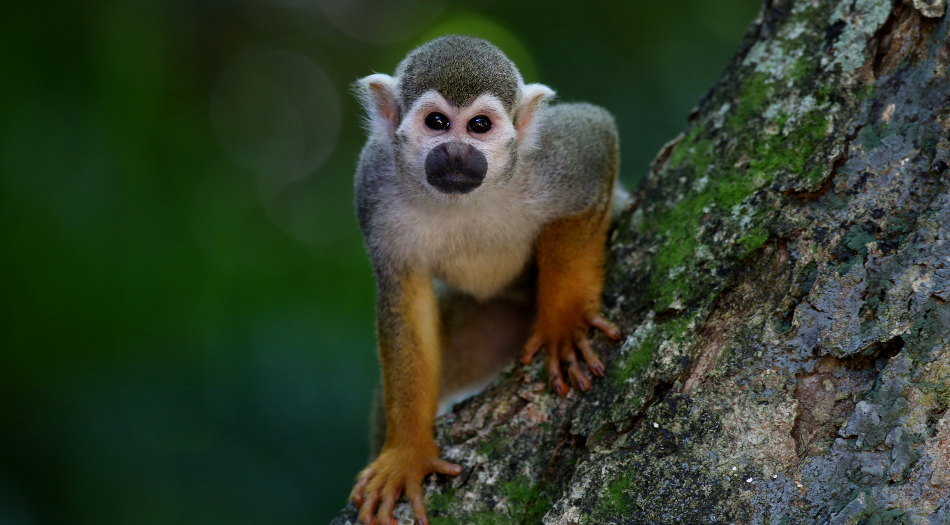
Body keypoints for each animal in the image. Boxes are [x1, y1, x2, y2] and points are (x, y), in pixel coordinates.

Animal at [352, 34, 624, 520]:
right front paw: (406, 453)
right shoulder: (374, 185)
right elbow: (405, 298)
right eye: (437, 122)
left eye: (479, 125)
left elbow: (597, 137)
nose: (457, 153)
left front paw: (564, 322)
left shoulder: (553, 157)